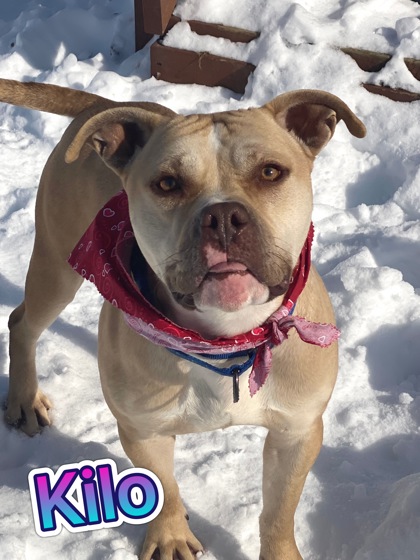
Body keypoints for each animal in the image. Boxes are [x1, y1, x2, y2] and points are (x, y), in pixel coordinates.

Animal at [1, 77, 366, 559]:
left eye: (270, 172)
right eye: (168, 183)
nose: (224, 216)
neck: (226, 340)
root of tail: (108, 104)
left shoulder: (297, 433)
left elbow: (279, 511)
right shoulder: (142, 430)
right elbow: (165, 490)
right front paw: (171, 537)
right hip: (56, 267)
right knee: (22, 322)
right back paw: (25, 398)